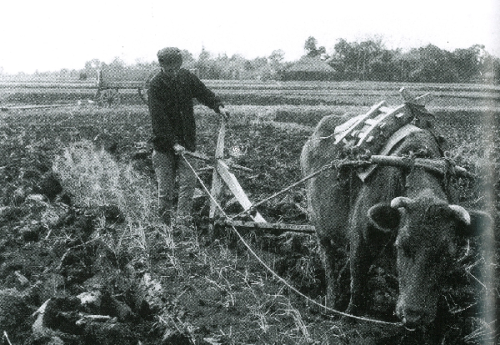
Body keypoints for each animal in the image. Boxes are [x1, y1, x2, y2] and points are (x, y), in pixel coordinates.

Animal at [300, 114, 492, 326]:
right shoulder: (359, 241)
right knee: (328, 260)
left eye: (447, 254)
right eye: (402, 246)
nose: (414, 316)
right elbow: (357, 285)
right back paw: (332, 303)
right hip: (319, 225)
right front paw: (347, 318)